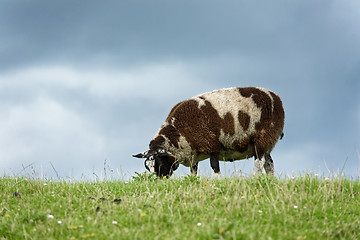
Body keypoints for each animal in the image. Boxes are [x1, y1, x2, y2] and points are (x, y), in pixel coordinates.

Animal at [134, 87, 286, 177]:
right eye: (147, 167)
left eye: (160, 164)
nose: (158, 183)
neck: (178, 134)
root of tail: (275, 98)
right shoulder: (193, 153)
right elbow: (193, 172)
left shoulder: (211, 144)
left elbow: (214, 166)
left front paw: (217, 181)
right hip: (266, 141)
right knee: (269, 164)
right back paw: (270, 181)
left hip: (262, 136)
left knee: (260, 162)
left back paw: (255, 178)